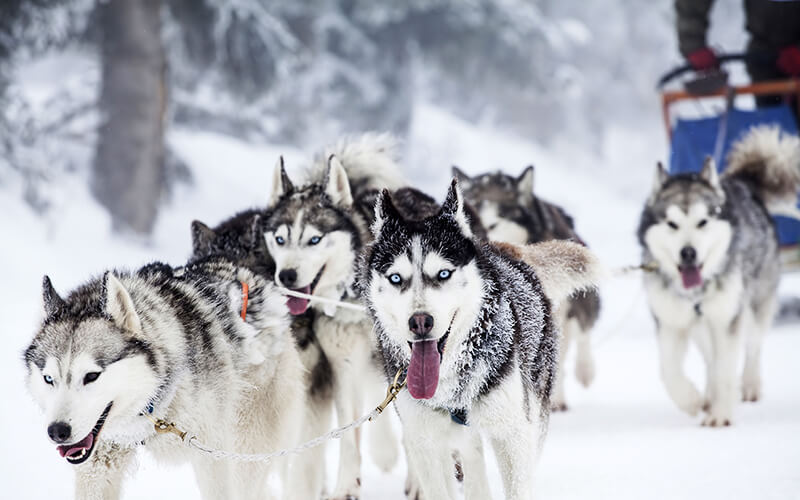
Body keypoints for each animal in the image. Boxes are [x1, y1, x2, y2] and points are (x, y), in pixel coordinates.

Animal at [24, 260, 306, 498]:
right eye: (49, 378)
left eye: (91, 376)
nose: (57, 431)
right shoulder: (99, 465)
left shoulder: (213, 455)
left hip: (246, 447)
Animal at [264, 134, 404, 500]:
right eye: (280, 238)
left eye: (314, 239)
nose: (287, 276)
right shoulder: (344, 367)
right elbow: (349, 437)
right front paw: (345, 486)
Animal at [636, 125, 800, 426]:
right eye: (672, 224)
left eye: (703, 222)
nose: (688, 253)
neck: (695, 294)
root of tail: (743, 184)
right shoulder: (670, 322)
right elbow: (668, 371)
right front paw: (692, 401)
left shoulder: (727, 320)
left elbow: (726, 369)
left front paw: (721, 416)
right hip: (702, 327)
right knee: (711, 359)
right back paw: (710, 395)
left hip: (753, 306)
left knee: (753, 347)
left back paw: (749, 385)